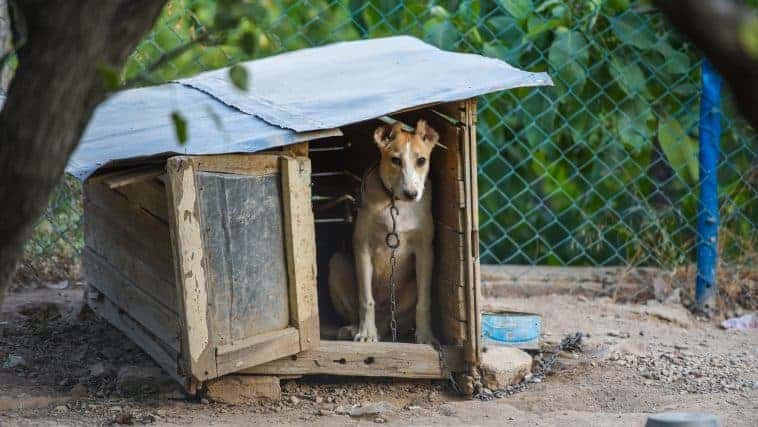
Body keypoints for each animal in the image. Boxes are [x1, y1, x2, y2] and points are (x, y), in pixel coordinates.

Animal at [326, 119, 440, 344]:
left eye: (421, 160)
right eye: (395, 160)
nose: (412, 194)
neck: (395, 203)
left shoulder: (425, 251)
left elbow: (424, 302)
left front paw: (425, 336)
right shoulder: (362, 247)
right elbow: (366, 299)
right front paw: (366, 333)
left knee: (390, 321)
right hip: (336, 263)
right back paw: (355, 328)